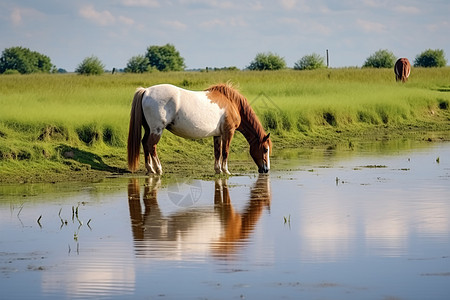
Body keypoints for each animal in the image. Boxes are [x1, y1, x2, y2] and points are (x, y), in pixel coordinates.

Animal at [126, 83, 270, 175]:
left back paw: (150, 169)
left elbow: (217, 152)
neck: (232, 104)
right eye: (265, 149)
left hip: (148, 129)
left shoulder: (218, 135)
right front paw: (226, 171)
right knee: (151, 146)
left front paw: (218, 170)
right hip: (157, 130)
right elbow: (225, 152)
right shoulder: (228, 132)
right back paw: (159, 169)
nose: (266, 170)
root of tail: (146, 91)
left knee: (145, 144)